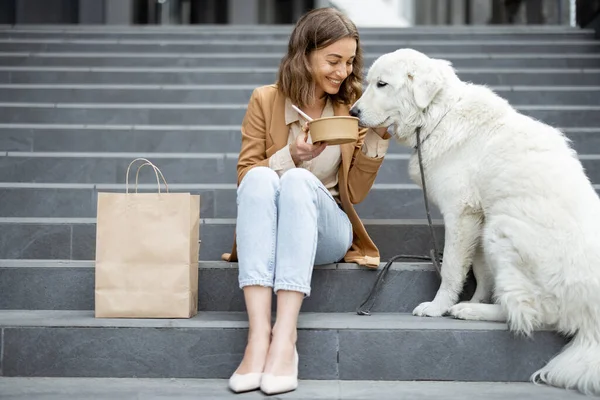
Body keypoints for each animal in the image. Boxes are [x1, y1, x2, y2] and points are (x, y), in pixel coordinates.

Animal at [350, 48, 600, 396]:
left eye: (381, 84)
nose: (352, 111)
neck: (436, 116)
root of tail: (593, 318)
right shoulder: (477, 217)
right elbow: (481, 272)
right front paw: (477, 296)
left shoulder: (461, 214)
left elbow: (453, 269)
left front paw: (439, 307)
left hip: (500, 228)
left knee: (535, 313)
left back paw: (470, 311)